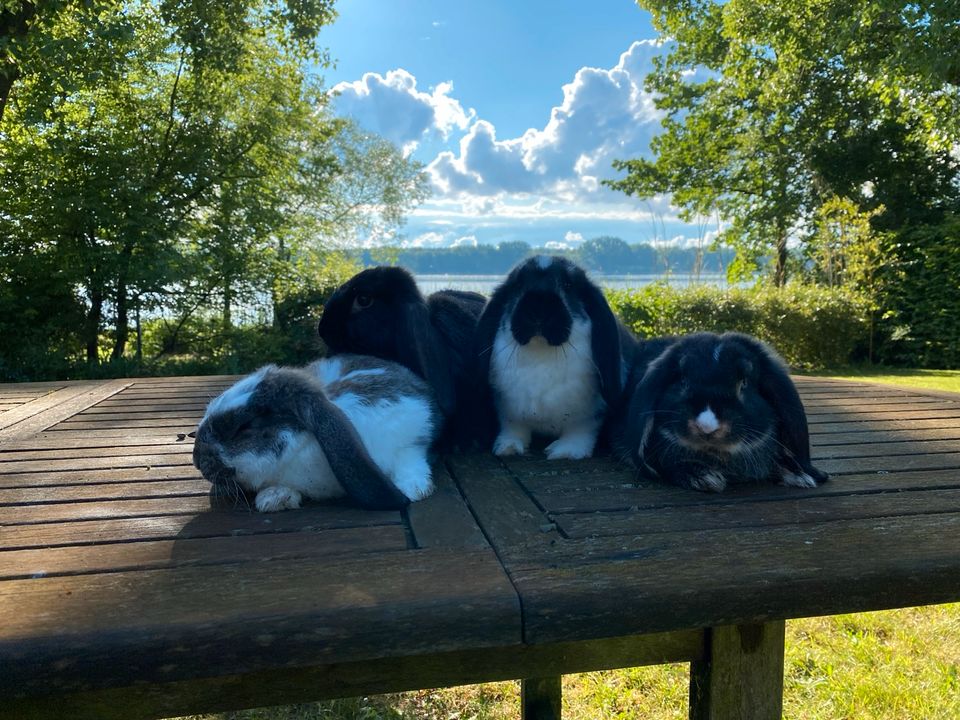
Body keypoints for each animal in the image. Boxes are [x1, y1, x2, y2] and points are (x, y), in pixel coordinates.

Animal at [193, 354, 440, 512]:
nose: (196, 460)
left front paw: (414, 489)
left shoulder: (411, 433)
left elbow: (410, 459)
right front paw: (274, 499)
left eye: (244, 427)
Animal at [470, 258, 632, 462]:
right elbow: (513, 428)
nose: (539, 309)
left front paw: (565, 451)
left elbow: (580, 431)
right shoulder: (508, 411)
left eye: (568, 285)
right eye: (518, 285)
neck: (541, 354)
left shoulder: (588, 416)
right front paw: (508, 447)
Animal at [612, 334, 828, 492]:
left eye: (744, 383)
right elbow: (667, 466)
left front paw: (800, 476)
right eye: (682, 381)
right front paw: (704, 477)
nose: (707, 428)